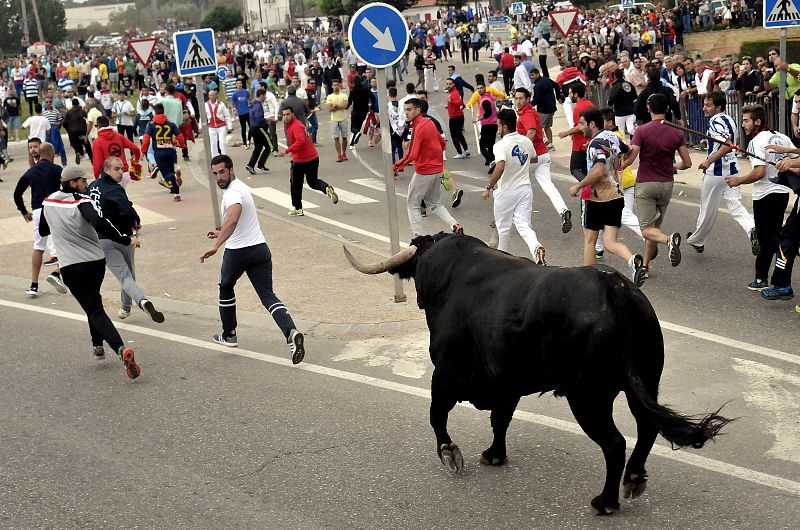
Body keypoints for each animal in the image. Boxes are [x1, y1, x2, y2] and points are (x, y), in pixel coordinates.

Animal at [344, 233, 732, 512]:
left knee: (614, 443)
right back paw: (634, 479)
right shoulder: (506, 385)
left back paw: (605, 502)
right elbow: (499, 420)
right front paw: (494, 455)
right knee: (647, 427)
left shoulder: (445, 375)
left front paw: (450, 453)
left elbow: (437, 415)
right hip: (646, 381)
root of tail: (616, 290)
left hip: (588, 398)